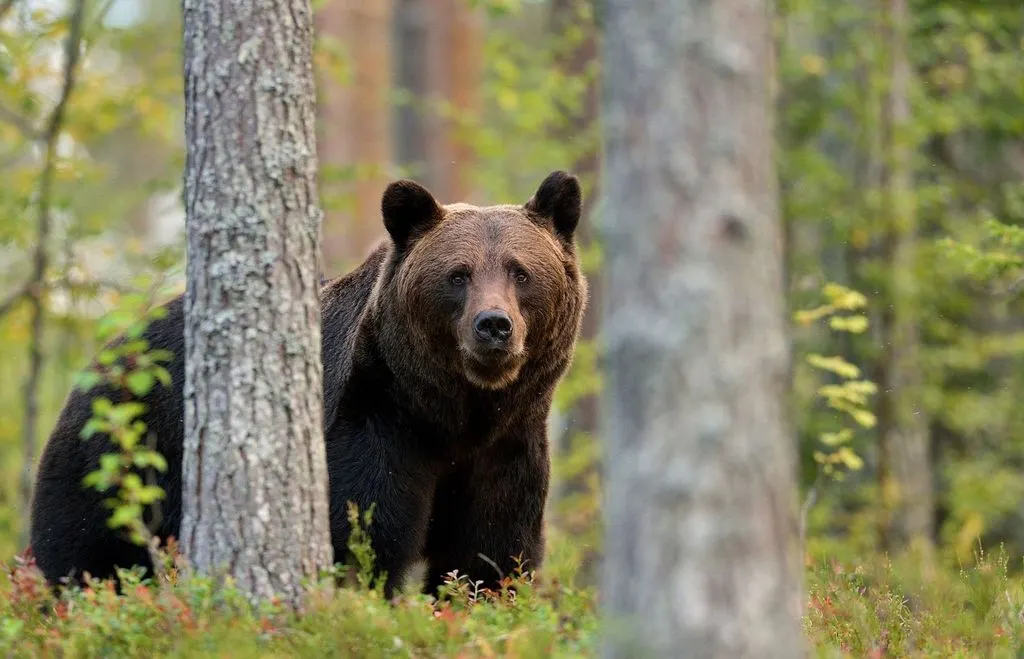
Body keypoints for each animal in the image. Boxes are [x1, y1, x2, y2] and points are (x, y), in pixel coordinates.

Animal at [29, 170, 587, 598]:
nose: (493, 325)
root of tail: (107, 355)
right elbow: (364, 534)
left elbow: (489, 554)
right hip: (121, 454)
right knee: (87, 552)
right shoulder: (375, 419)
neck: (455, 412)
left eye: (520, 272)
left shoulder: (506, 448)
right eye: (458, 274)